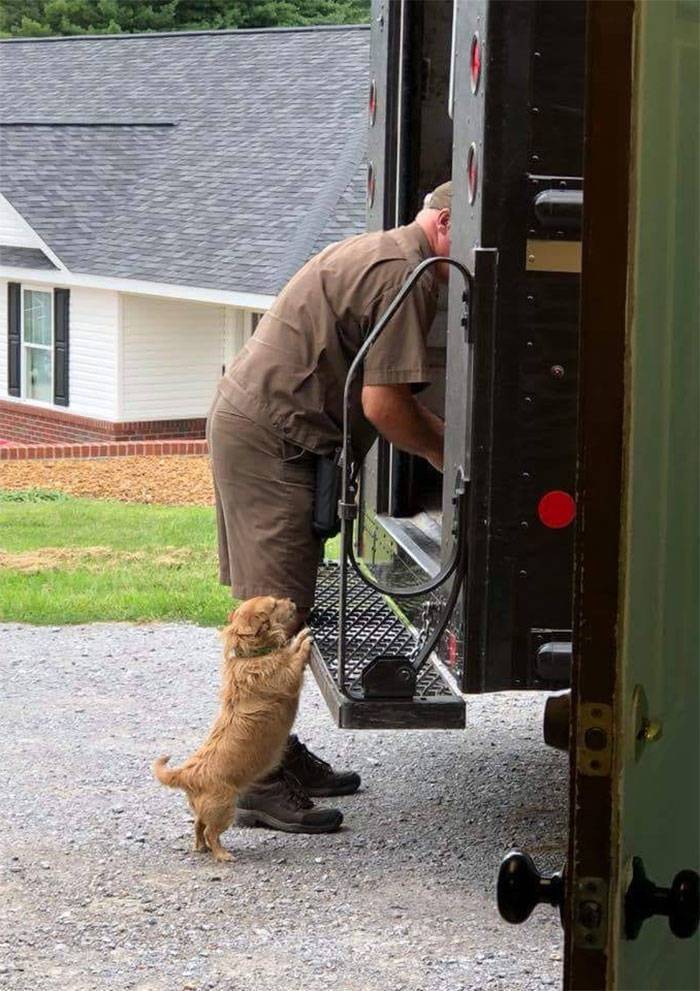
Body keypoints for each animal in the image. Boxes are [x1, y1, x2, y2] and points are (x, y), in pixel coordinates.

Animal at [153, 596, 312, 860]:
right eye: (273, 605)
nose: (291, 600)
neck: (252, 656)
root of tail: (188, 774)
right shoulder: (287, 679)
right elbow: (294, 662)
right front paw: (305, 642)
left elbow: (289, 651)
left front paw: (298, 637)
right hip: (224, 808)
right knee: (211, 831)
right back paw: (222, 854)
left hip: (207, 809)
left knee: (198, 825)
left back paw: (201, 847)